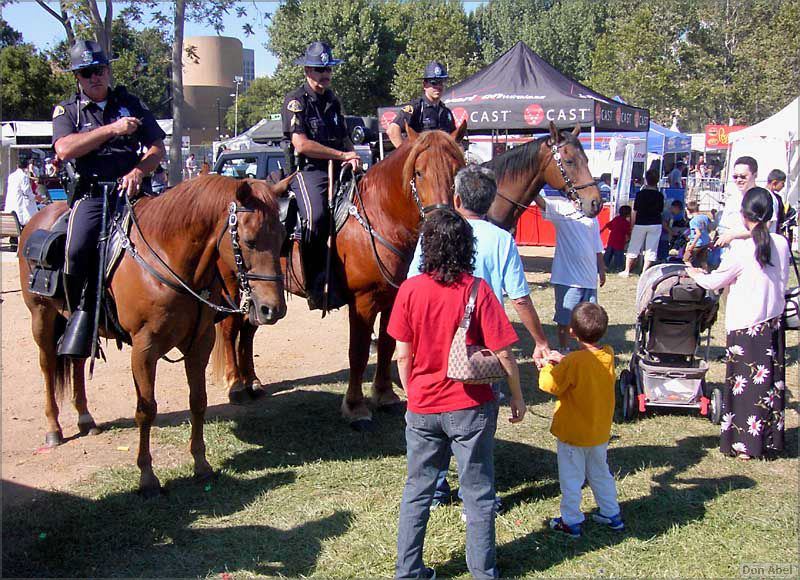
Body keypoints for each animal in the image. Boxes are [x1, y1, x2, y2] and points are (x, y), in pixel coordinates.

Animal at [18, 174, 290, 496]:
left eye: (283, 238)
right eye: (249, 241)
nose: (273, 308)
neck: (169, 258)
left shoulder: (200, 343)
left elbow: (198, 401)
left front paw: (201, 464)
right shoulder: (144, 349)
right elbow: (146, 409)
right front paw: (147, 476)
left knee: (77, 362)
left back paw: (86, 417)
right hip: (42, 317)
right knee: (48, 366)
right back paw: (53, 429)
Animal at [219, 124, 468, 428]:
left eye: (458, 170)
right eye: (419, 172)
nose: (442, 223)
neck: (379, 218)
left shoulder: (392, 298)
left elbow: (387, 345)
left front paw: (385, 395)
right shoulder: (363, 302)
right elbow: (358, 353)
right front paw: (355, 407)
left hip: (262, 293)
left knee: (248, 328)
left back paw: (252, 381)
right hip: (234, 285)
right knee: (229, 328)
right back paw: (236, 385)